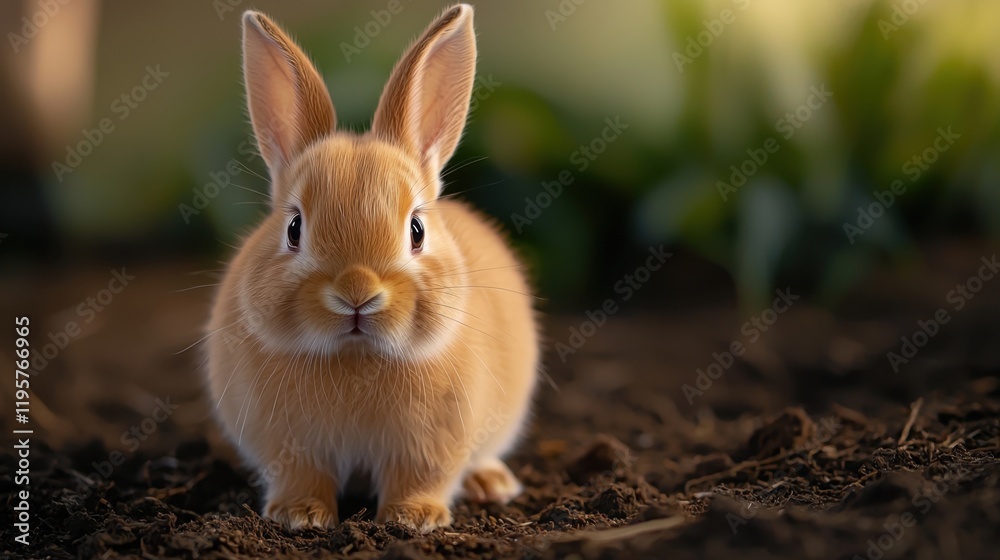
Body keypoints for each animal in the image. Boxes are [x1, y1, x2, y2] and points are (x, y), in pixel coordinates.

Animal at [205, 4, 539, 533]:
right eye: (294, 228)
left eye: (417, 229)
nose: (356, 293)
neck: (355, 355)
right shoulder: (289, 447)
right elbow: (302, 477)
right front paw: (299, 515)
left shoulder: (432, 445)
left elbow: (419, 478)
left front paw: (414, 518)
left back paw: (492, 484)